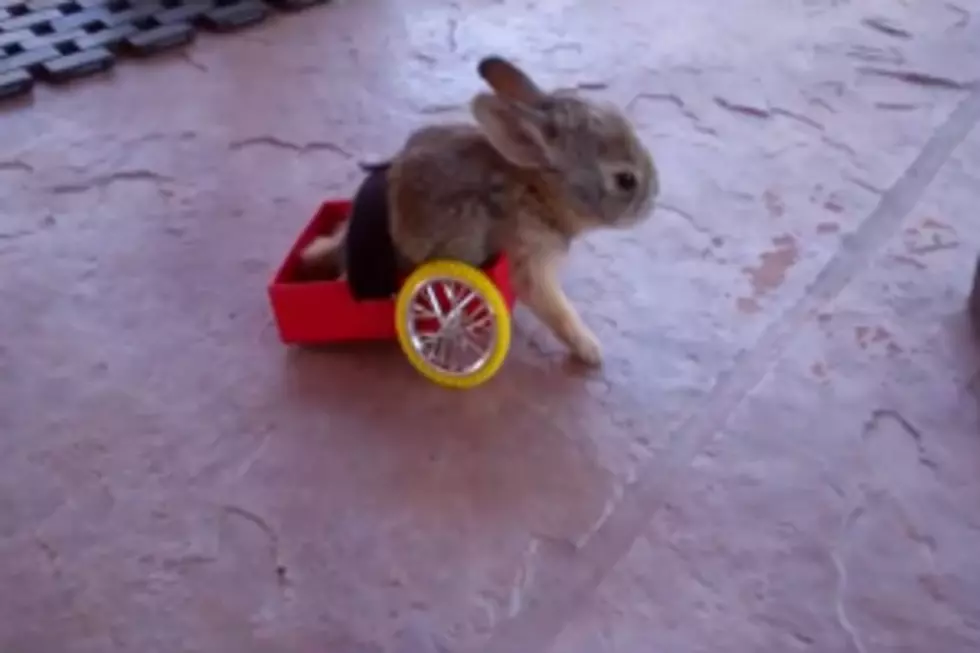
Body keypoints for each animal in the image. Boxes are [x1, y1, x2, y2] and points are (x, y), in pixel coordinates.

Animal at [300, 54, 660, 366]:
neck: (538, 191)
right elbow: (556, 310)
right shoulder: (529, 263)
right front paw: (590, 350)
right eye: (625, 180)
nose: (652, 201)